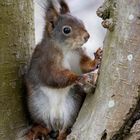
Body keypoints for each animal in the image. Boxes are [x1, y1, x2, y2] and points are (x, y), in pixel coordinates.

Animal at [24, 0, 101, 139]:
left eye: (81, 21)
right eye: (66, 30)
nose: (87, 36)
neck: (66, 49)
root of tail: (56, 120)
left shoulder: (77, 57)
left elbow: (84, 66)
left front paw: (96, 59)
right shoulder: (46, 62)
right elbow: (55, 77)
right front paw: (78, 78)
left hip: (72, 107)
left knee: (66, 126)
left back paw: (63, 132)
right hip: (37, 107)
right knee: (44, 125)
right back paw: (40, 129)